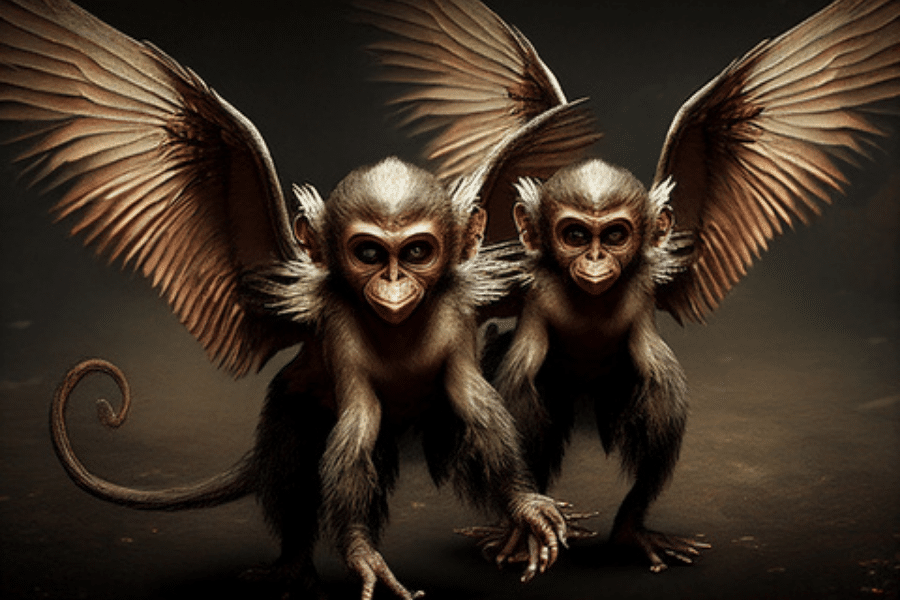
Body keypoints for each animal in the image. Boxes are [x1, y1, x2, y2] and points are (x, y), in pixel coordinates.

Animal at [0, 1, 579, 597]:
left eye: (418, 251)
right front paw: (363, 556)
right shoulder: (339, 334)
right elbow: (353, 435)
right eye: (368, 253)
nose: (393, 286)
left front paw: (526, 508)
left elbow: (479, 410)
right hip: (290, 408)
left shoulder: (458, 316)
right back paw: (293, 565)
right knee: (299, 472)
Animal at [356, 0, 900, 572]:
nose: (595, 261)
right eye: (575, 235)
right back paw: (523, 526)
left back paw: (629, 531)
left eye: (615, 235)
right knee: (526, 398)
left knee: (658, 395)